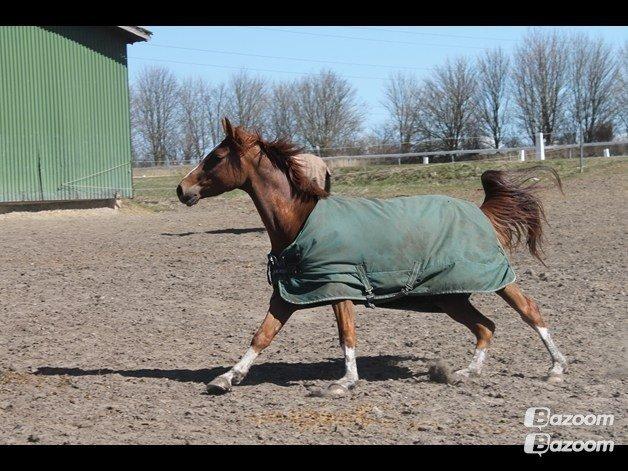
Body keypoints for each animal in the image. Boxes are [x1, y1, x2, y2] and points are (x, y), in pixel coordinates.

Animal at [178, 117, 568, 394]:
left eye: (215, 157)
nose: (182, 189)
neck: (300, 221)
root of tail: (481, 211)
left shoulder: (339, 285)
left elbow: (346, 335)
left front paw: (343, 383)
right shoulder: (290, 293)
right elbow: (262, 335)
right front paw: (227, 377)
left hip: (495, 279)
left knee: (530, 312)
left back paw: (556, 369)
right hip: (450, 296)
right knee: (486, 327)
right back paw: (465, 372)